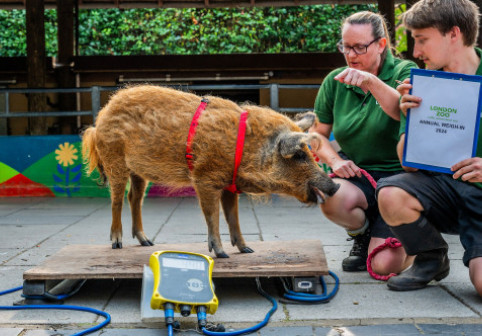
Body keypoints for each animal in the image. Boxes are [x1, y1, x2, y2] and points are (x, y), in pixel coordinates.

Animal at [83, 86, 338, 258]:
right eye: (299, 155)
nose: (335, 185)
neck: (245, 148)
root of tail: (101, 117)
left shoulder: (229, 184)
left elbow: (233, 216)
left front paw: (247, 250)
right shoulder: (204, 178)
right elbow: (212, 215)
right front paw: (221, 254)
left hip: (139, 171)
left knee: (134, 198)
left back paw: (148, 243)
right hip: (115, 159)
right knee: (117, 199)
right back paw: (117, 243)